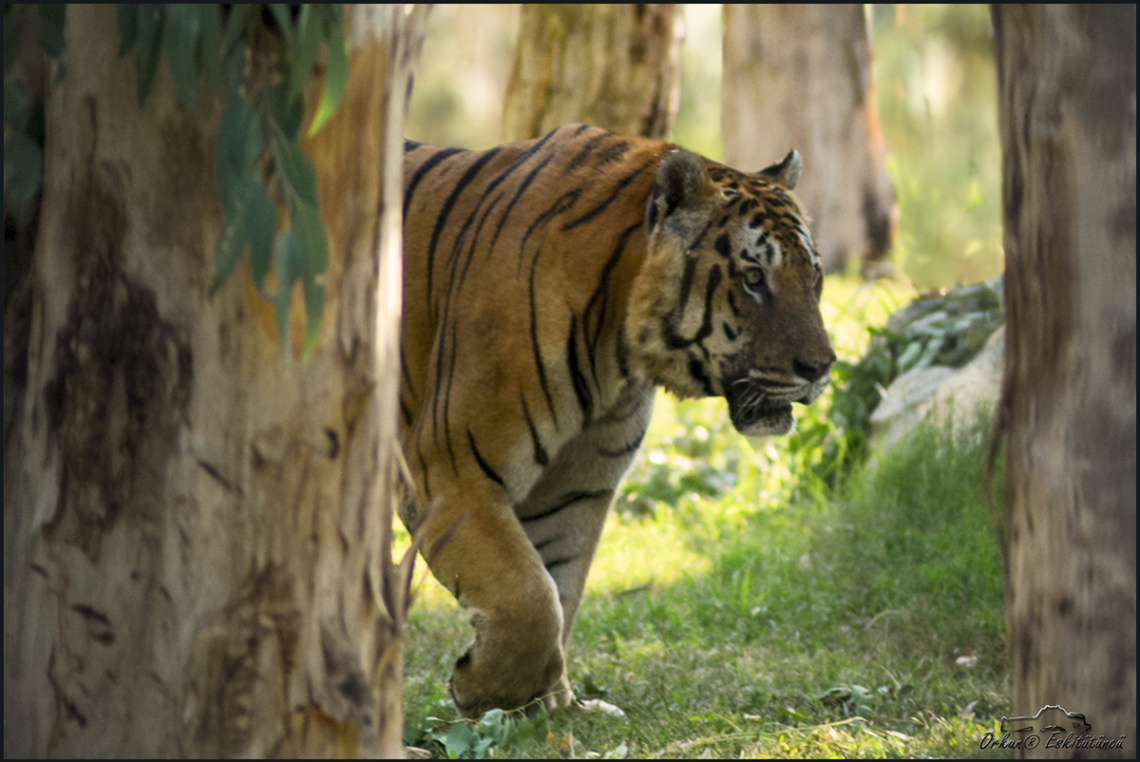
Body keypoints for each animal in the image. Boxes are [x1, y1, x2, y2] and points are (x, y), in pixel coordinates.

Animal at [399, 123, 834, 717]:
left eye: (814, 276)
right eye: (752, 278)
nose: (822, 368)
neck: (617, 348)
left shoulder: (574, 488)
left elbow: (558, 589)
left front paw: (548, 708)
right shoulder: (454, 470)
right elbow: (527, 597)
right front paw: (483, 690)